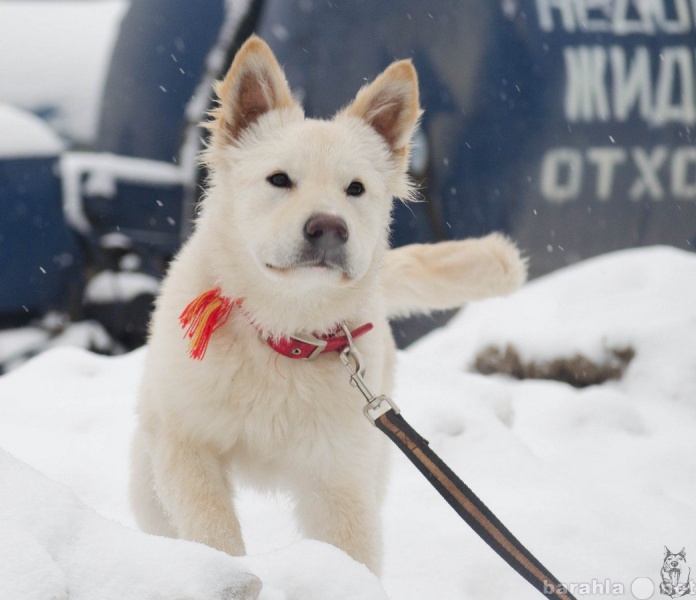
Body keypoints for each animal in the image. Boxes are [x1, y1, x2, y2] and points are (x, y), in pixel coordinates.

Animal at [130, 34, 524, 576]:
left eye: (355, 189)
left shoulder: (340, 478)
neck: (281, 336)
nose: (329, 228)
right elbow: (215, 532)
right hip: (147, 475)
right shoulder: (185, 445)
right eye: (279, 180)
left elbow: (350, 558)